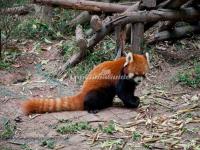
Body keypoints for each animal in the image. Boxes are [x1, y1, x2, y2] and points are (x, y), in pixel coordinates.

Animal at [22, 52, 150, 115]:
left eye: (143, 74)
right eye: (135, 74)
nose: (139, 81)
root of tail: (82, 92)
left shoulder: (130, 82)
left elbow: (129, 91)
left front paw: (134, 99)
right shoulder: (120, 77)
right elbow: (123, 93)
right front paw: (133, 102)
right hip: (96, 90)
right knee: (94, 97)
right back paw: (92, 108)